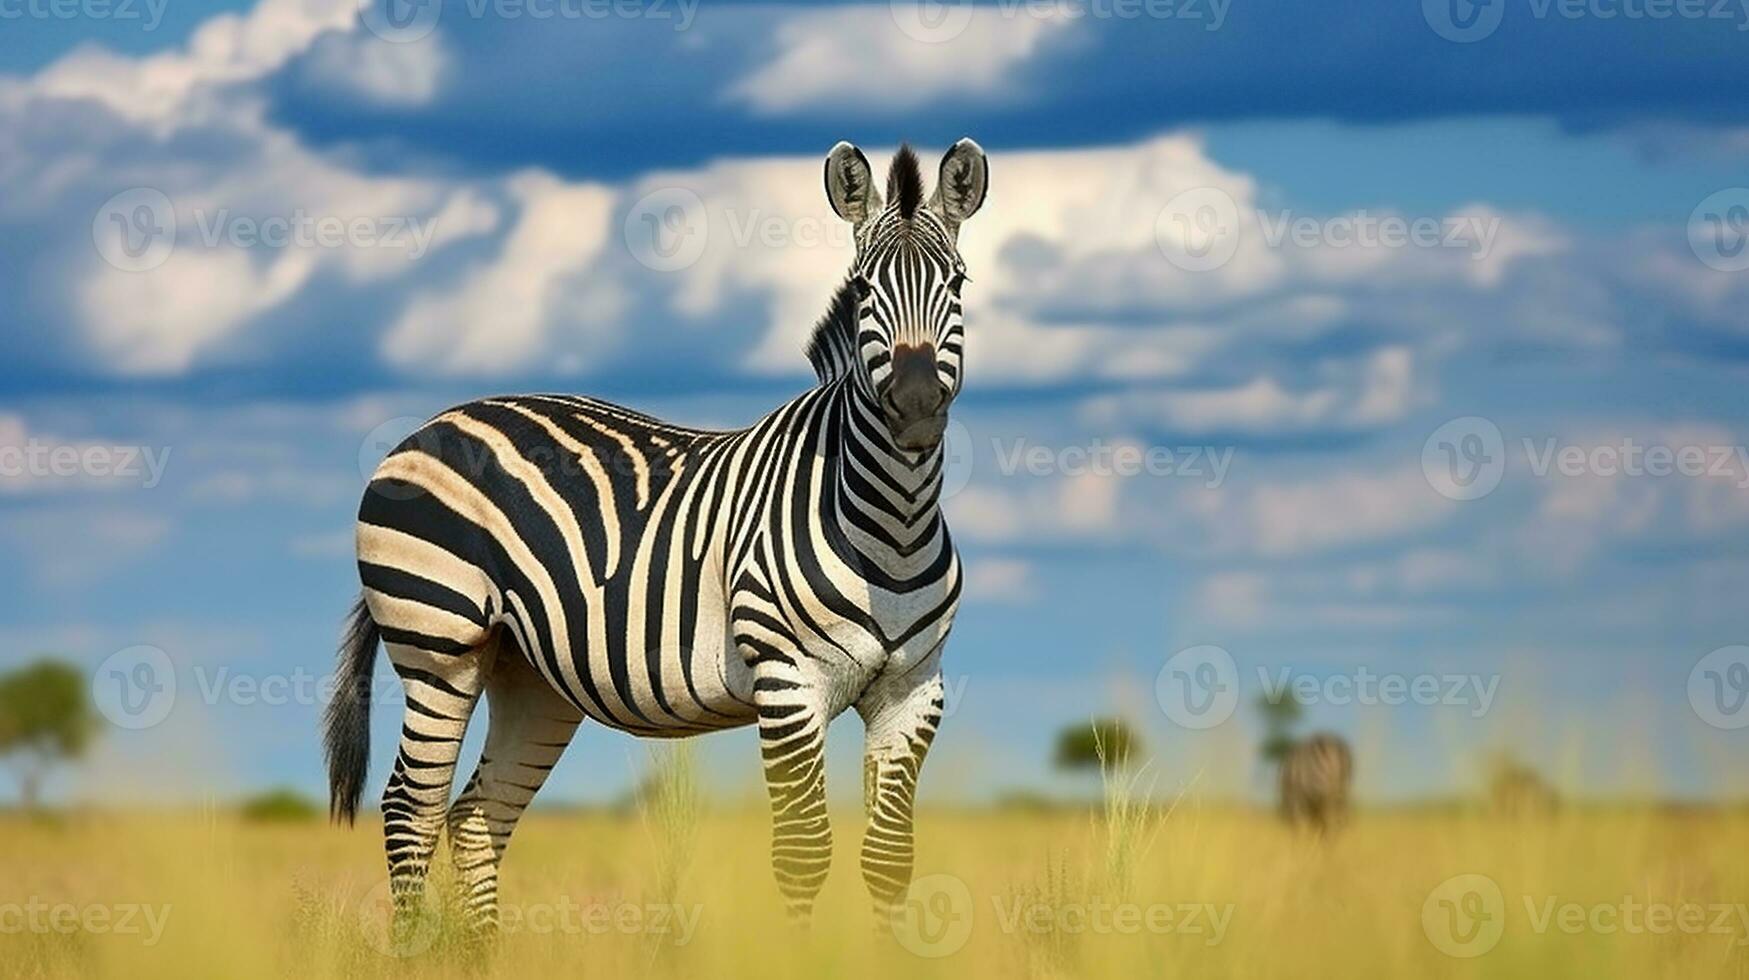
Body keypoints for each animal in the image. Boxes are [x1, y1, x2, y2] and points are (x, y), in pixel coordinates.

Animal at [323, 140, 993, 945]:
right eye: (864, 289)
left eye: (957, 284)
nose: (917, 409)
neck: (891, 525)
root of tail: (429, 426)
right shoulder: (788, 682)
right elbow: (803, 852)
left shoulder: (912, 690)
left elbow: (890, 858)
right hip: (438, 642)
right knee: (410, 808)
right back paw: (418, 951)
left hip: (529, 673)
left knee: (477, 815)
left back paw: (479, 955)